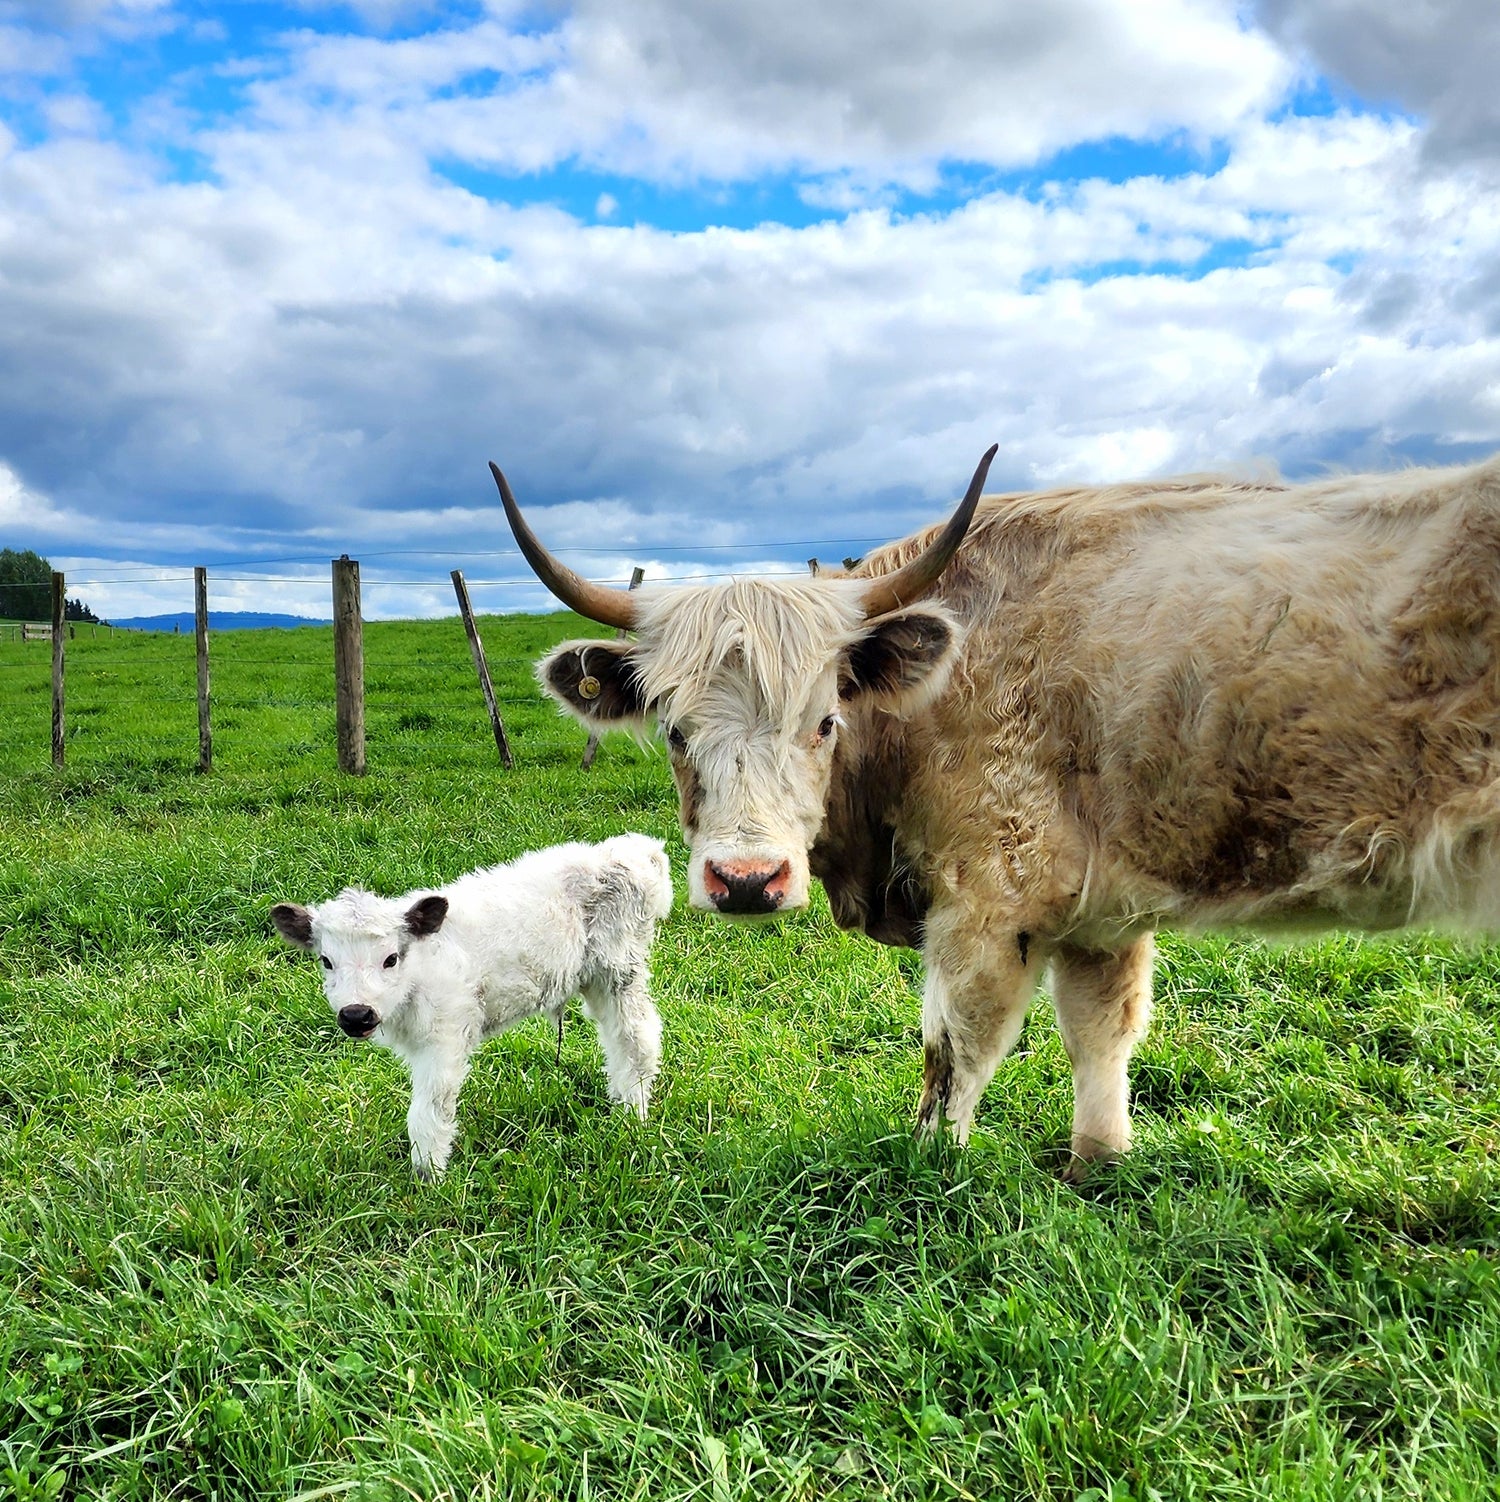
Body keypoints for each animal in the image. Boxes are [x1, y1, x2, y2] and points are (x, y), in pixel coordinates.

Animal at [274, 835, 675, 1171]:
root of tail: (635, 851)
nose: (356, 1014)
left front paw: (428, 1178)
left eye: (390, 959)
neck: (418, 972)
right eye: (326, 961)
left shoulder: (445, 1038)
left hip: (619, 971)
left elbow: (429, 1111)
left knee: (637, 1039)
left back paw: (632, 1115)